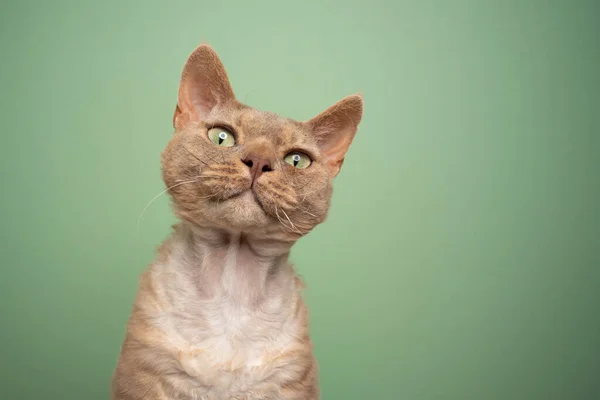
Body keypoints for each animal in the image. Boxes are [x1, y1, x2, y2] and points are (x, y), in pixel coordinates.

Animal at [110, 44, 364, 400]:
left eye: (296, 160)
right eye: (222, 137)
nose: (258, 161)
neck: (231, 286)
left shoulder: (292, 384)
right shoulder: (145, 375)